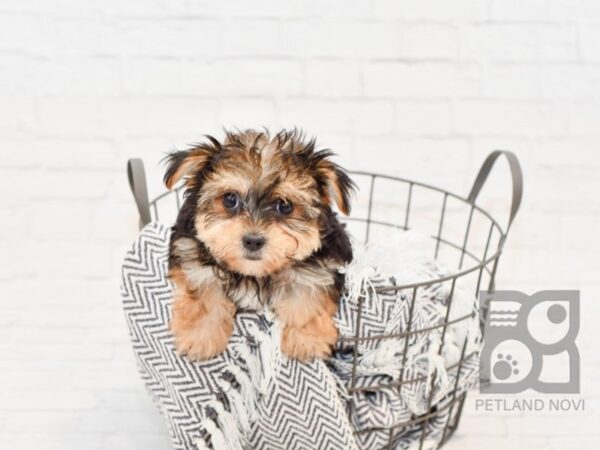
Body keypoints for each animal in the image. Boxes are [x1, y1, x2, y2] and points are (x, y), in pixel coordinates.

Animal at [164, 129, 354, 362]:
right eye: (230, 199)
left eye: (285, 206)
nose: (253, 240)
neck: (254, 273)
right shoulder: (192, 258)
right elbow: (205, 298)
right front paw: (200, 336)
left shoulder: (321, 267)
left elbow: (305, 300)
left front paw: (305, 340)